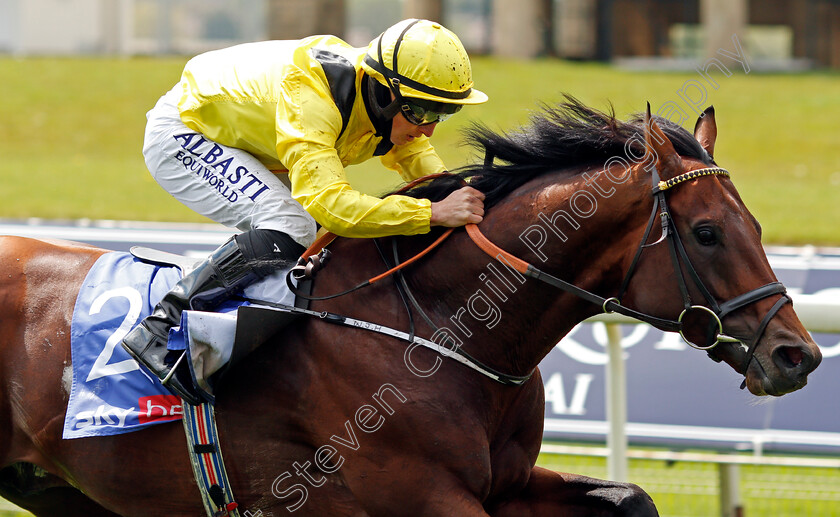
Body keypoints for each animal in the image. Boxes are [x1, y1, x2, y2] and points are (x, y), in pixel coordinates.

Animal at [0, 99, 820, 512]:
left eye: (755, 225)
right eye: (708, 232)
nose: (798, 355)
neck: (436, 325)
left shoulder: (508, 484)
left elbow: (629, 497)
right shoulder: (421, 497)